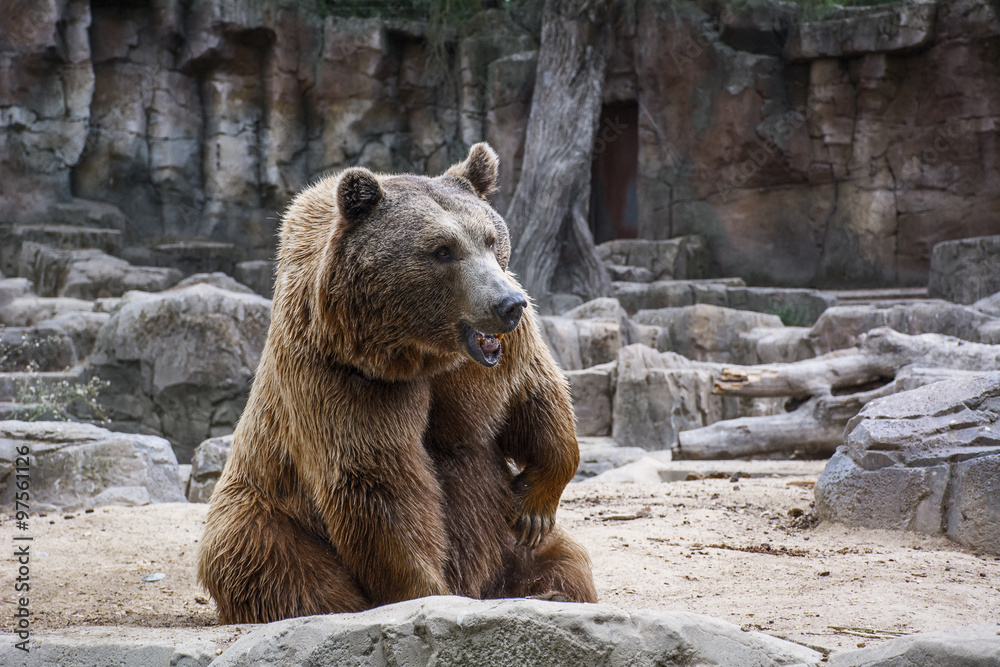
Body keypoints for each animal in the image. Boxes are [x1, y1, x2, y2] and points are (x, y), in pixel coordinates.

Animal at [197, 143, 597, 624]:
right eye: (442, 250)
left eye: (490, 238)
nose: (508, 304)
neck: (421, 351)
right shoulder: (342, 373)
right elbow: (380, 483)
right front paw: (426, 592)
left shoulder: (492, 362)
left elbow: (534, 397)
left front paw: (534, 505)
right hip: (266, 510)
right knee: (272, 561)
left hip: (506, 549)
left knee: (563, 560)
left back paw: (549, 594)